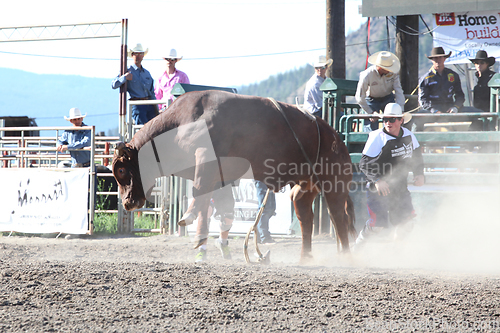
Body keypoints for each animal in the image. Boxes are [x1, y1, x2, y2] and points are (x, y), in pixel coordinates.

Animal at [113, 89, 356, 260]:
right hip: (305, 186)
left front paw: (188, 217)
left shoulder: (206, 159)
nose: (127, 203)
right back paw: (305, 257)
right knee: (306, 216)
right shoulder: (219, 177)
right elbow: (214, 208)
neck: (182, 121)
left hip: (334, 183)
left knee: (339, 217)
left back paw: (345, 256)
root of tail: (334, 135)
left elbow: (199, 193)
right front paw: (202, 241)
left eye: (121, 170)